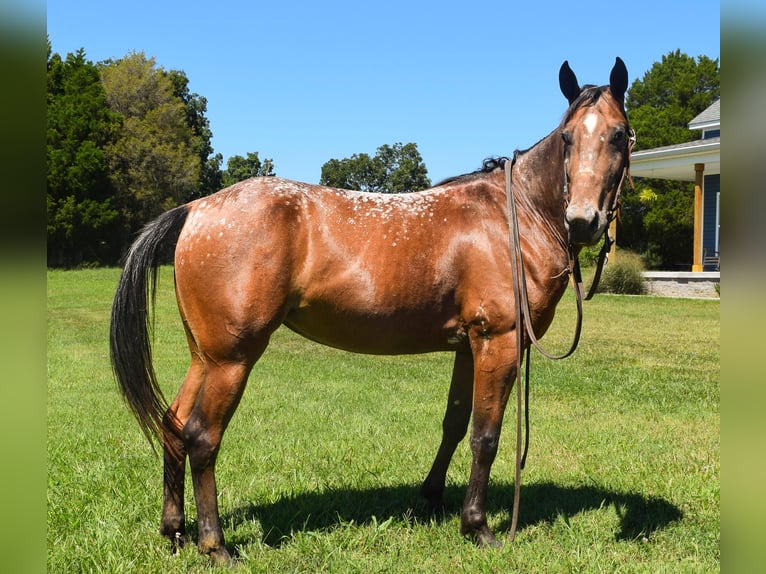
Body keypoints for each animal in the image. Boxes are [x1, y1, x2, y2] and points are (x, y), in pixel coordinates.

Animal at [109, 59, 636, 568]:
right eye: (567, 137)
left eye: (617, 134)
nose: (583, 221)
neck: (515, 216)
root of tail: (197, 208)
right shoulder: (499, 340)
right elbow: (485, 435)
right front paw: (478, 527)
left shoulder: (468, 346)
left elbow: (454, 422)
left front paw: (431, 499)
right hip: (231, 360)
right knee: (202, 437)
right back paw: (215, 545)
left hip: (205, 355)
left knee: (174, 426)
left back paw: (175, 531)